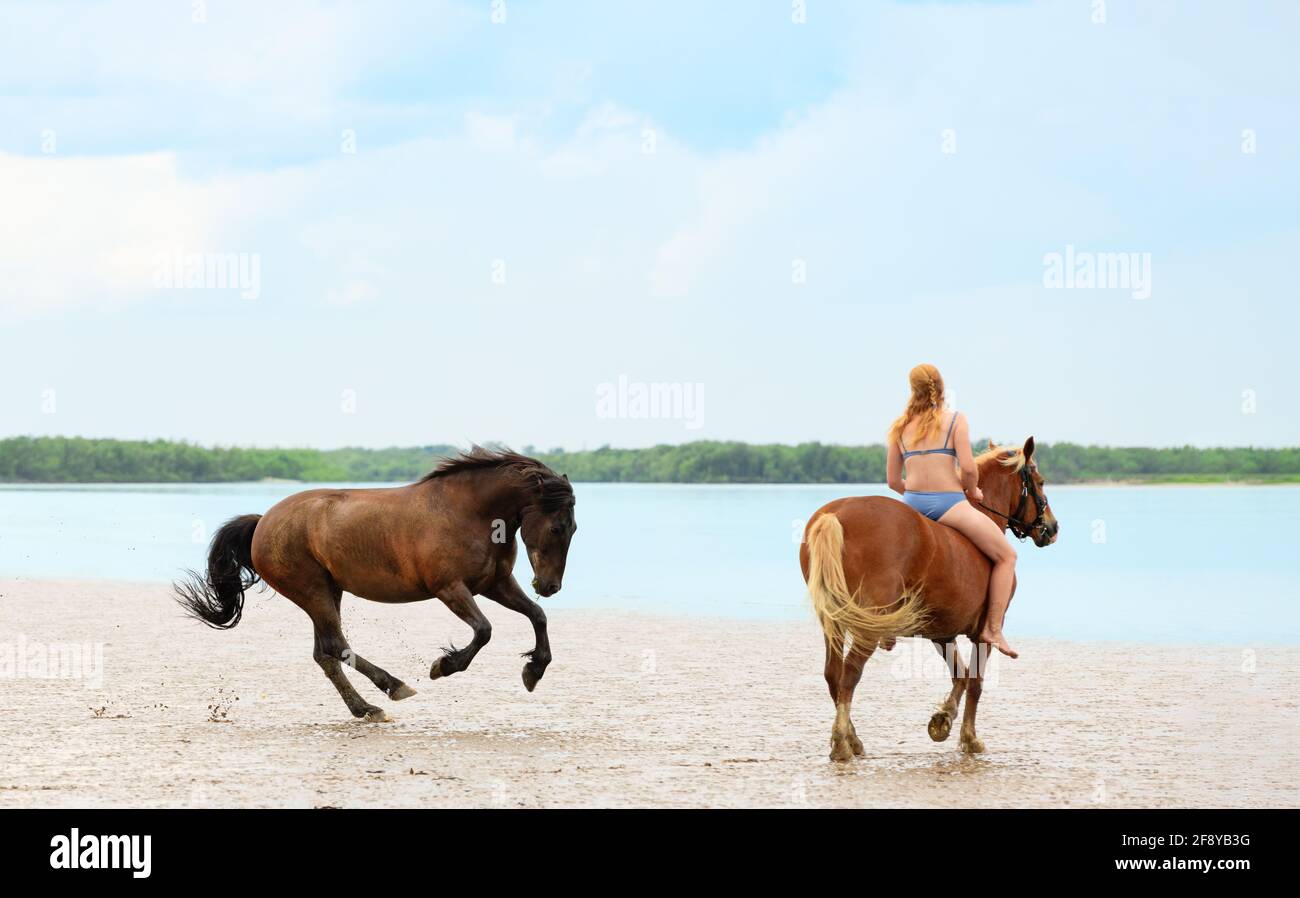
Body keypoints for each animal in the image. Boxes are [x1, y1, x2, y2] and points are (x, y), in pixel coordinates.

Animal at [175, 447, 577, 721]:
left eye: (574, 528)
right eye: (558, 527)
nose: (549, 586)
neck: (468, 513)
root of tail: (262, 523)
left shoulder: (495, 584)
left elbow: (537, 616)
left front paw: (533, 671)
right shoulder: (450, 588)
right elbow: (484, 631)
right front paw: (443, 666)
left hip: (329, 591)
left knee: (325, 653)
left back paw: (366, 708)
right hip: (312, 590)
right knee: (335, 646)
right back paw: (393, 688)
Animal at [800, 437, 1058, 760]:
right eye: (1040, 481)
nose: (1052, 528)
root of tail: (836, 515)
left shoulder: (942, 632)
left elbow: (960, 675)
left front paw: (942, 720)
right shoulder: (983, 633)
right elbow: (976, 682)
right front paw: (969, 738)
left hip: (834, 622)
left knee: (833, 674)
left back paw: (852, 738)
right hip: (867, 627)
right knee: (850, 674)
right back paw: (842, 743)